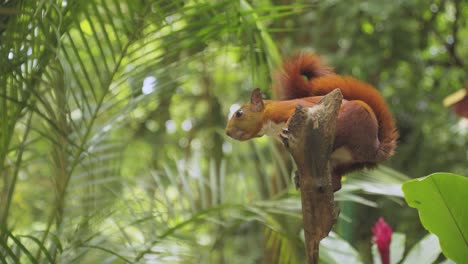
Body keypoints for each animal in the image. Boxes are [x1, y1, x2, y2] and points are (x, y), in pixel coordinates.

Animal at [227, 53, 398, 190]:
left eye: (239, 113)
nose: (227, 132)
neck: (269, 120)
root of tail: (375, 148)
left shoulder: (293, 108)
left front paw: (286, 130)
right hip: (343, 162)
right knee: (337, 182)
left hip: (349, 122)